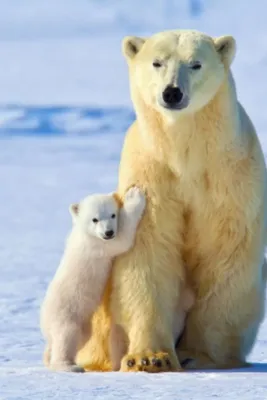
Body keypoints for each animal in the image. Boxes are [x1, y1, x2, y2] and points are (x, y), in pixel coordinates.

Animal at [77, 28, 267, 372]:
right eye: (157, 62)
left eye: (195, 63)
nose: (172, 93)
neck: (185, 153)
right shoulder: (151, 174)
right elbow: (149, 253)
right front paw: (151, 357)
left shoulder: (229, 176)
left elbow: (225, 251)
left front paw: (199, 355)